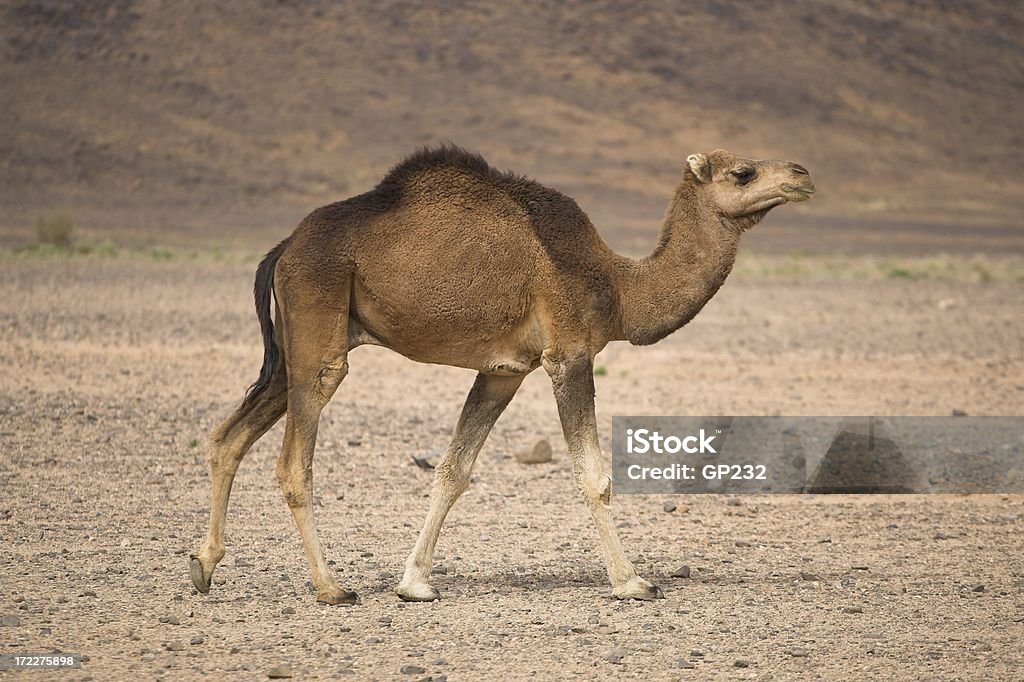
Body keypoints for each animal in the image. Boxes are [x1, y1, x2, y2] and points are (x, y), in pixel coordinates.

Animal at [190, 143, 815, 602]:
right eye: (743, 171)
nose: (803, 174)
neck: (617, 286)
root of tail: (284, 246)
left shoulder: (503, 372)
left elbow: (454, 471)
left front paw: (414, 583)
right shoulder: (569, 353)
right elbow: (593, 475)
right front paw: (632, 582)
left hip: (294, 349)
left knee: (227, 436)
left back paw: (204, 565)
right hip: (318, 322)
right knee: (293, 462)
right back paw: (331, 587)